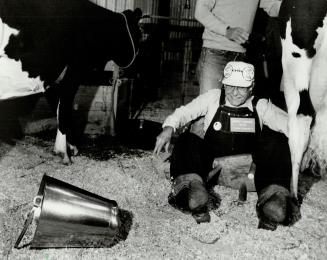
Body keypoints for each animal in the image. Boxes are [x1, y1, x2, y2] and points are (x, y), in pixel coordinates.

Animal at [0, 0, 143, 162]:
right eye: (139, 37)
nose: (139, 71)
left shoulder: (51, 81)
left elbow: (58, 109)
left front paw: (68, 146)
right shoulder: (73, 73)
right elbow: (64, 109)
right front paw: (65, 152)